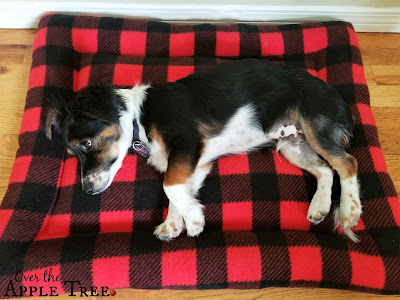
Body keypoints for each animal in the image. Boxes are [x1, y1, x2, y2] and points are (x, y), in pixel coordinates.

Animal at [44, 58, 362, 241]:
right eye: (72, 153)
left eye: (86, 144)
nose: (86, 191)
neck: (139, 118)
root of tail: (340, 99)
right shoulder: (194, 161)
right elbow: (178, 190)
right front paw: (173, 223)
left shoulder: (187, 143)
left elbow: (169, 185)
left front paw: (194, 222)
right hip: (291, 145)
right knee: (325, 169)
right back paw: (319, 207)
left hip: (315, 128)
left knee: (347, 163)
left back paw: (349, 212)